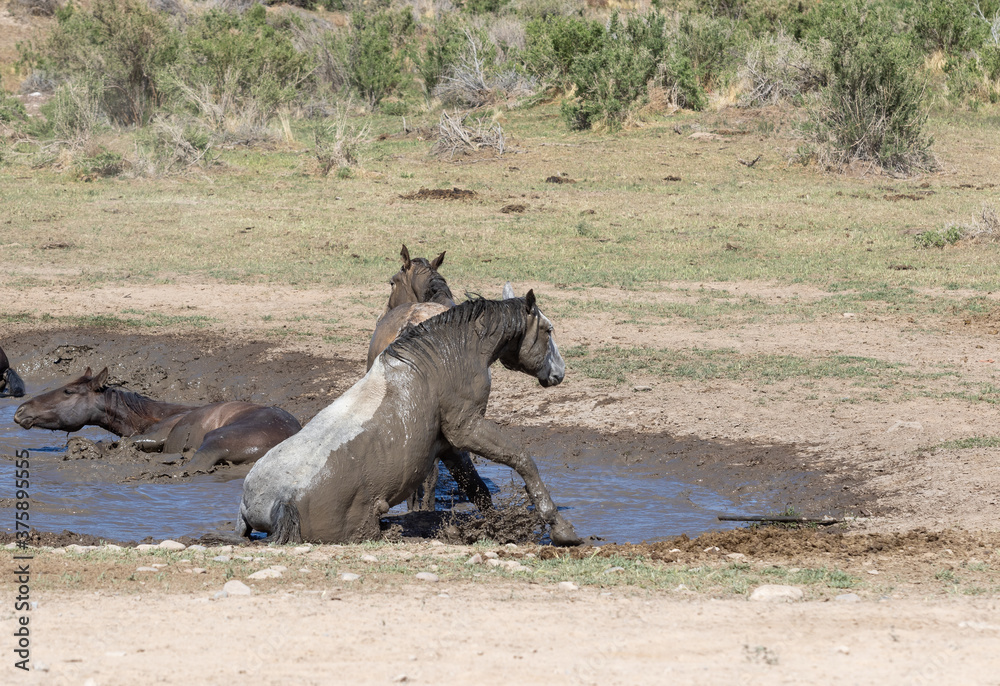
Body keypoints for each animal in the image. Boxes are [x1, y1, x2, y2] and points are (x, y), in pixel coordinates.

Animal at [238, 291, 582, 546]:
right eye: (548, 330)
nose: (559, 372)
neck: (446, 355)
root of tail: (269, 504)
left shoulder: (449, 446)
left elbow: (477, 488)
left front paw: (497, 527)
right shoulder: (467, 429)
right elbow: (522, 460)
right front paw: (561, 529)